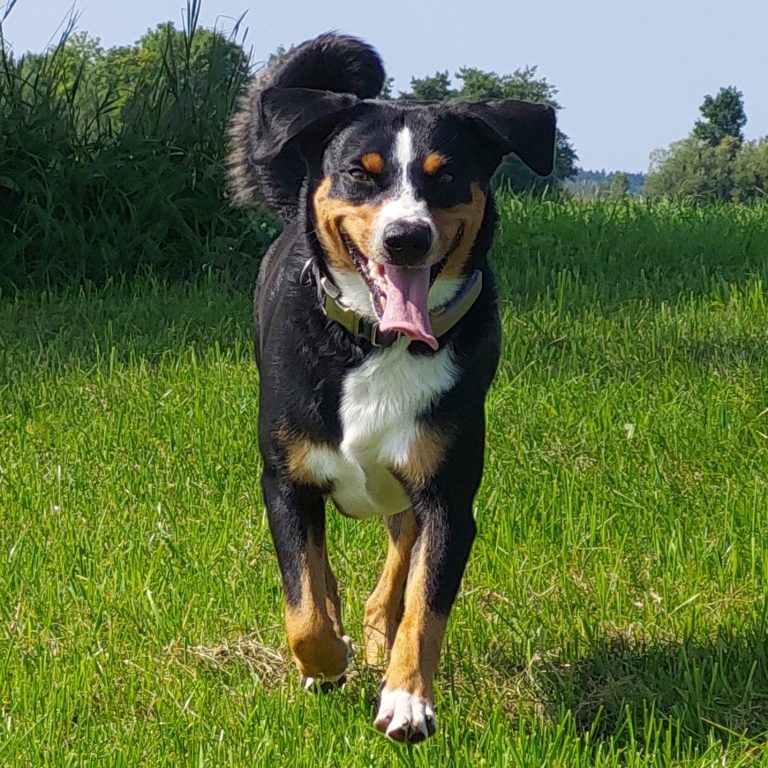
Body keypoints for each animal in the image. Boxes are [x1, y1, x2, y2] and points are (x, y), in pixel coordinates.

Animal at [227, 33, 555, 743]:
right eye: (362, 172)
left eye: (445, 174)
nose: (406, 237)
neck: (379, 343)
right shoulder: (286, 481)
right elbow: (306, 606)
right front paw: (327, 664)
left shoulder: (448, 497)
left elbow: (423, 607)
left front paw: (406, 698)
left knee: (399, 561)